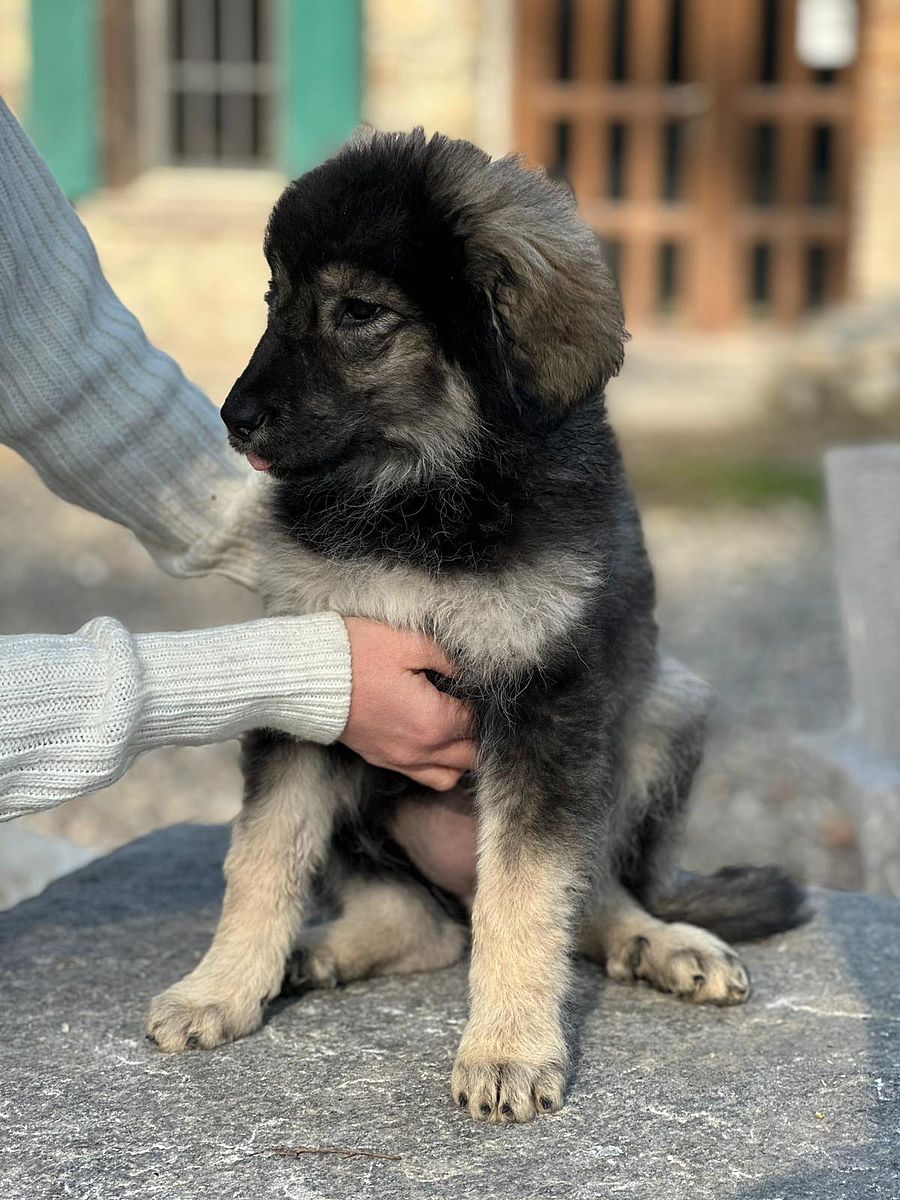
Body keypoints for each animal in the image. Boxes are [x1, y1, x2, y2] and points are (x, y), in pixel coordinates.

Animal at [146, 128, 807, 1122]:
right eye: (272, 298)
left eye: (359, 312)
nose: (234, 421)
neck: (416, 498)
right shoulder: (318, 683)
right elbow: (261, 858)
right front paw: (219, 989)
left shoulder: (542, 698)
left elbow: (528, 890)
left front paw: (507, 1049)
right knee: (419, 920)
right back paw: (314, 955)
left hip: (661, 710)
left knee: (589, 893)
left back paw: (663, 942)